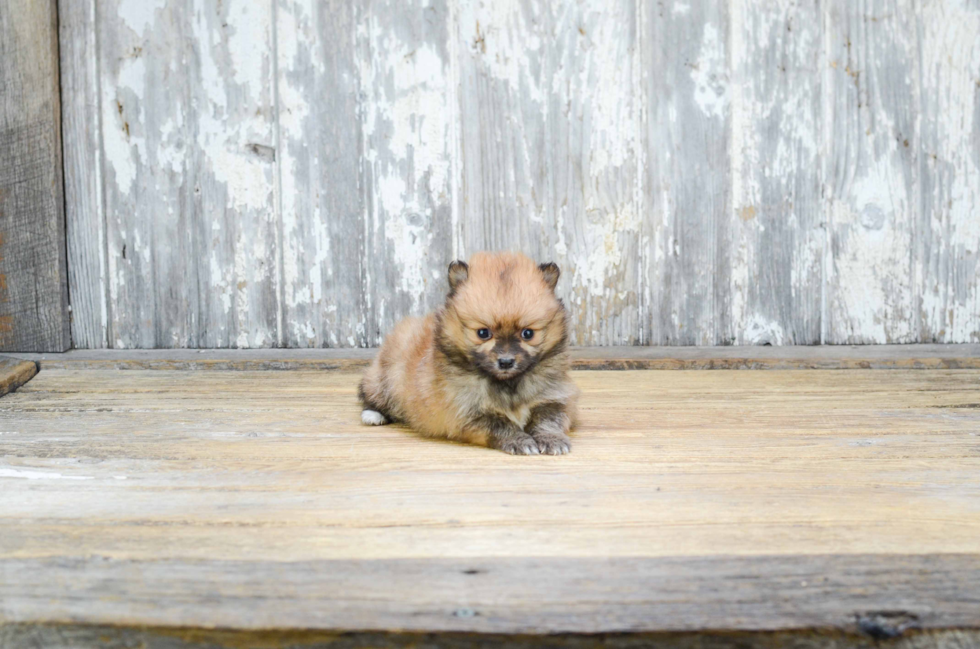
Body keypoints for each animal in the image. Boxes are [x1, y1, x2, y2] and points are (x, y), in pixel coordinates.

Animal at [358, 251, 576, 454]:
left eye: (528, 333)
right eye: (483, 333)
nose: (506, 362)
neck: (507, 385)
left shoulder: (553, 398)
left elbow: (548, 420)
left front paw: (551, 439)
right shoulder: (467, 411)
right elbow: (501, 425)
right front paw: (519, 441)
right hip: (385, 378)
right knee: (370, 394)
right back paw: (372, 414)